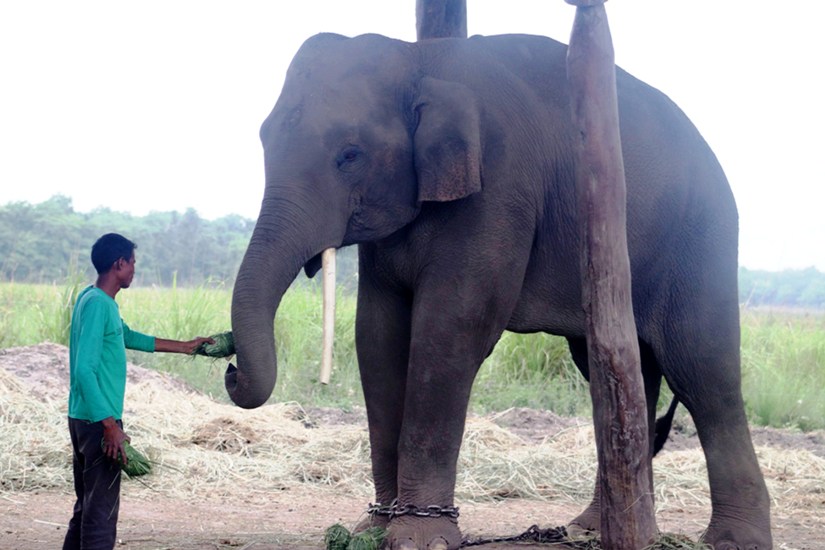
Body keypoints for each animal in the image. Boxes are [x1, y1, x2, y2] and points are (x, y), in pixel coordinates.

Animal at [224, 32, 768, 548]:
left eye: (349, 155)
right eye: (263, 137)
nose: (228, 368)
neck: (420, 58)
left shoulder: (498, 188)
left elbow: (452, 329)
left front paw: (420, 540)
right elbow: (378, 336)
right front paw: (371, 531)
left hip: (701, 242)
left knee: (702, 371)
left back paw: (732, 540)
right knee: (614, 371)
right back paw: (593, 530)